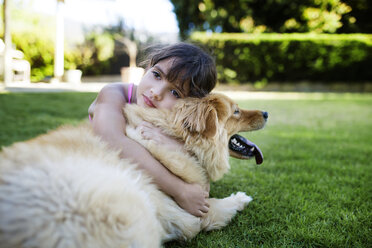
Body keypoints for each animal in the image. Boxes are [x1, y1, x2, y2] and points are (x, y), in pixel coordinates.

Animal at [0, 93, 268, 248]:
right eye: (236, 111)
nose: (266, 112)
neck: (174, 137)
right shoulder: (192, 215)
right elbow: (218, 206)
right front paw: (241, 198)